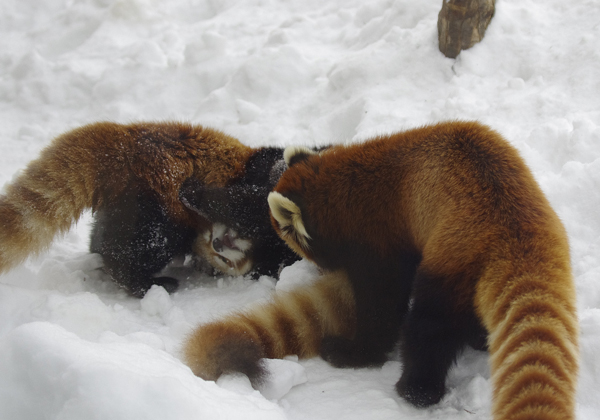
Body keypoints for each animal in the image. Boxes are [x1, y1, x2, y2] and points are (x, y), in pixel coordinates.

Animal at [0, 120, 298, 296]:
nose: (220, 243)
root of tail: (127, 140)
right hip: (155, 200)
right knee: (147, 245)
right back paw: (143, 282)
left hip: (128, 202)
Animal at [268, 121, 576, 420]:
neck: (346, 189)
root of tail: (517, 233)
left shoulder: (380, 238)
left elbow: (384, 305)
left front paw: (356, 351)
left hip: (451, 259)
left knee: (430, 327)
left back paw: (416, 388)